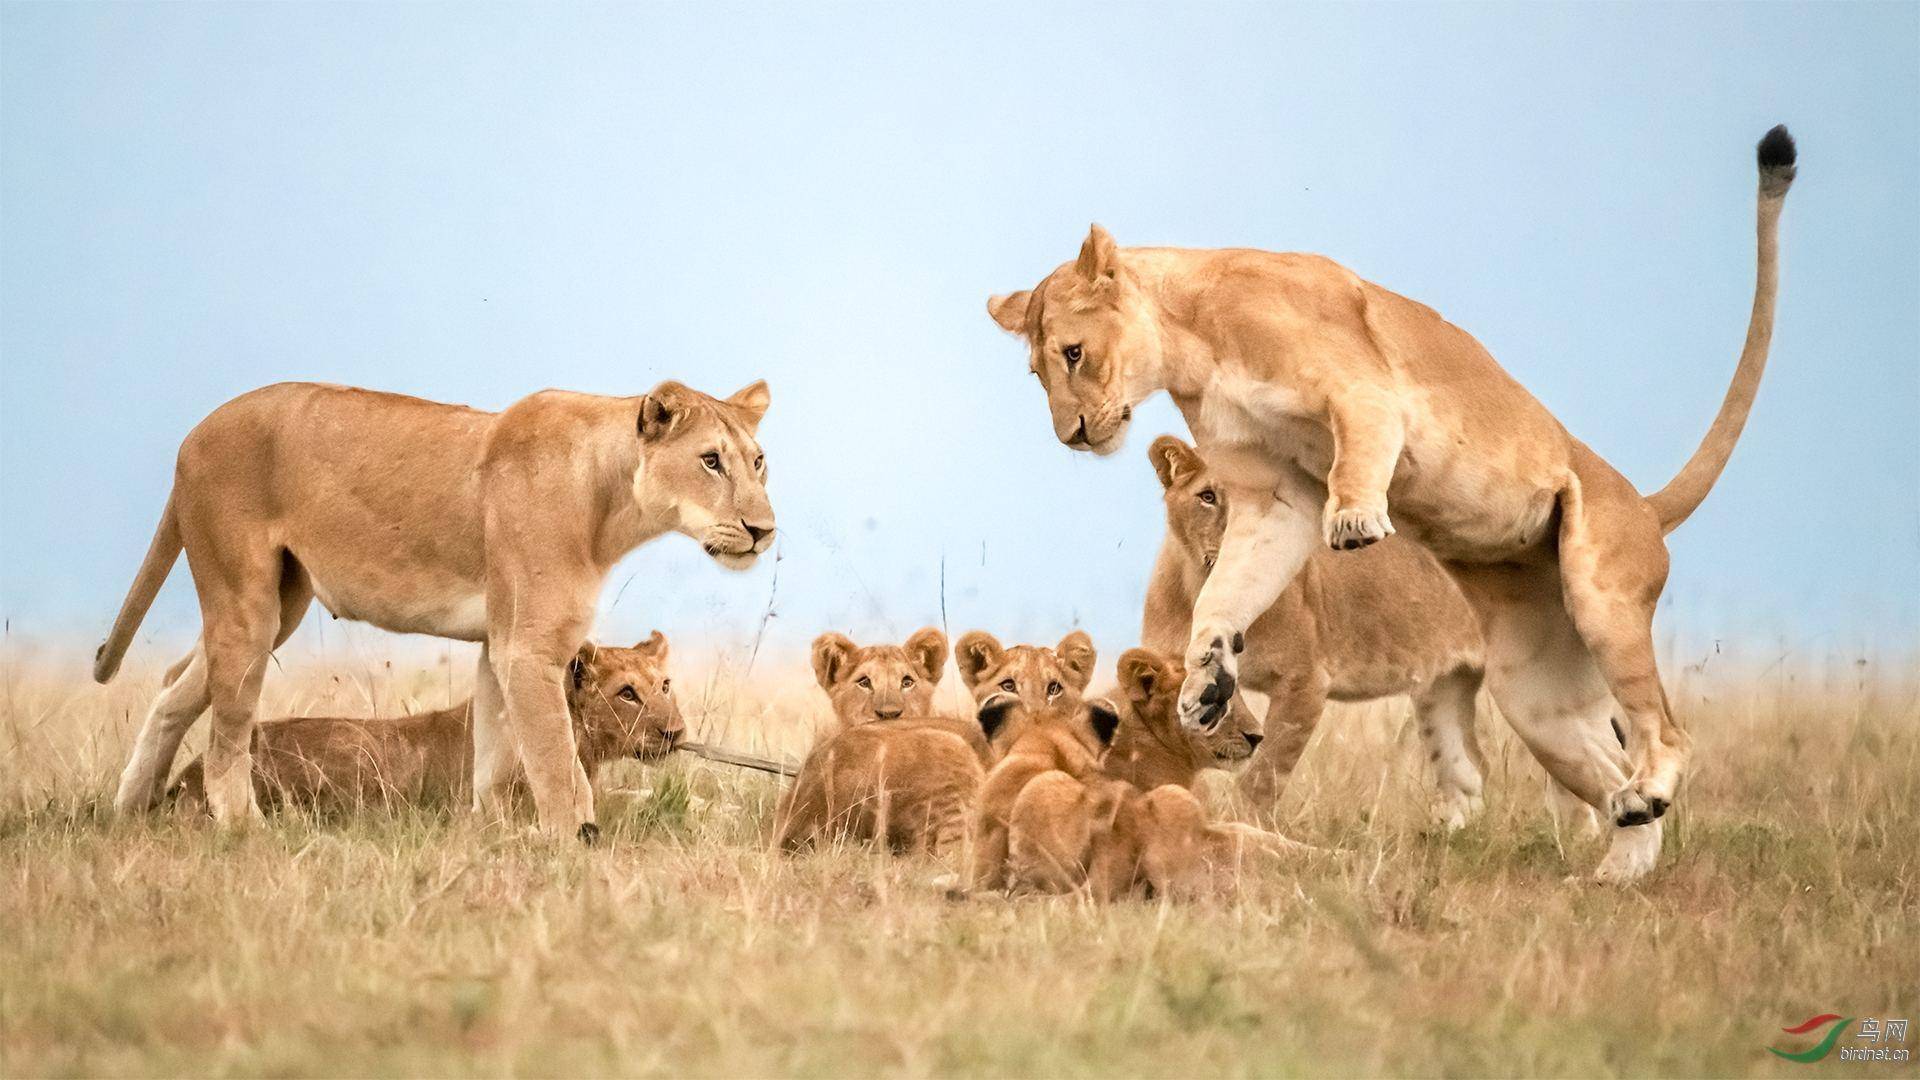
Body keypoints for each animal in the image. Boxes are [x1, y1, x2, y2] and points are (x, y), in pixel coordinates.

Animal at [1144, 430, 1489, 822]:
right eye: (1208, 497)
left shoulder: (1305, 682)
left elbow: (1263, 775)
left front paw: (1245, 830)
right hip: (1443, 688)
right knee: (1467, 767)